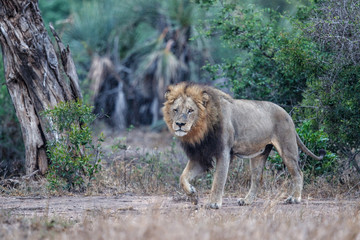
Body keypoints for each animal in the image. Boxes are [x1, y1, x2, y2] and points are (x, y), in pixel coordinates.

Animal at [163, 82, 326, 208]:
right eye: (175, 110)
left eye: (190, 110)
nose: (179, 124)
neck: (200, 131)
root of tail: (288, 114)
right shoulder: (200, 156)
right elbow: (182, 177)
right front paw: (192, 194)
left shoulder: (223, 152)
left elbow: (218, 180)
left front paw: (214, 203)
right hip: (259, 155)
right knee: (257, 179)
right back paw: (247, 201)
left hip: (287, 149)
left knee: (298, 173)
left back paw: (295, 198)